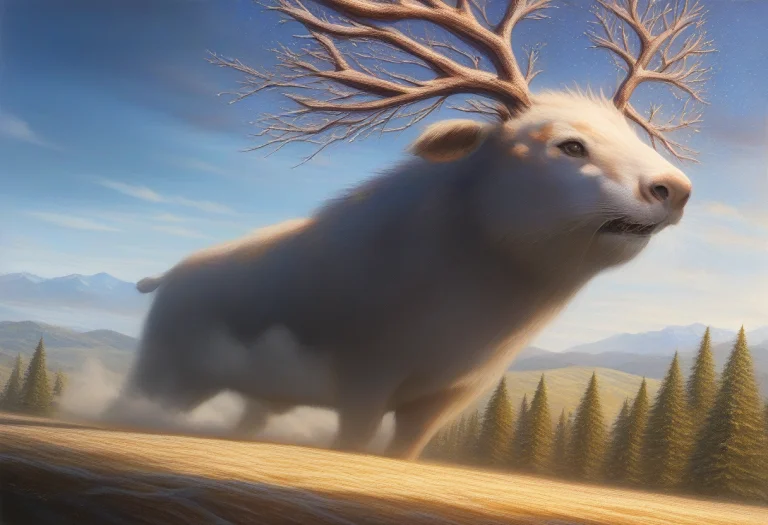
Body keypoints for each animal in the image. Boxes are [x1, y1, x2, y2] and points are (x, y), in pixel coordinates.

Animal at [108, 0, 714, 461]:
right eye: (570, 145)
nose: (676, 189)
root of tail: (163, 279)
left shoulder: (444, 400)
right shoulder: (364, 380)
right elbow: (354, 447)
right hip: (166, 371)